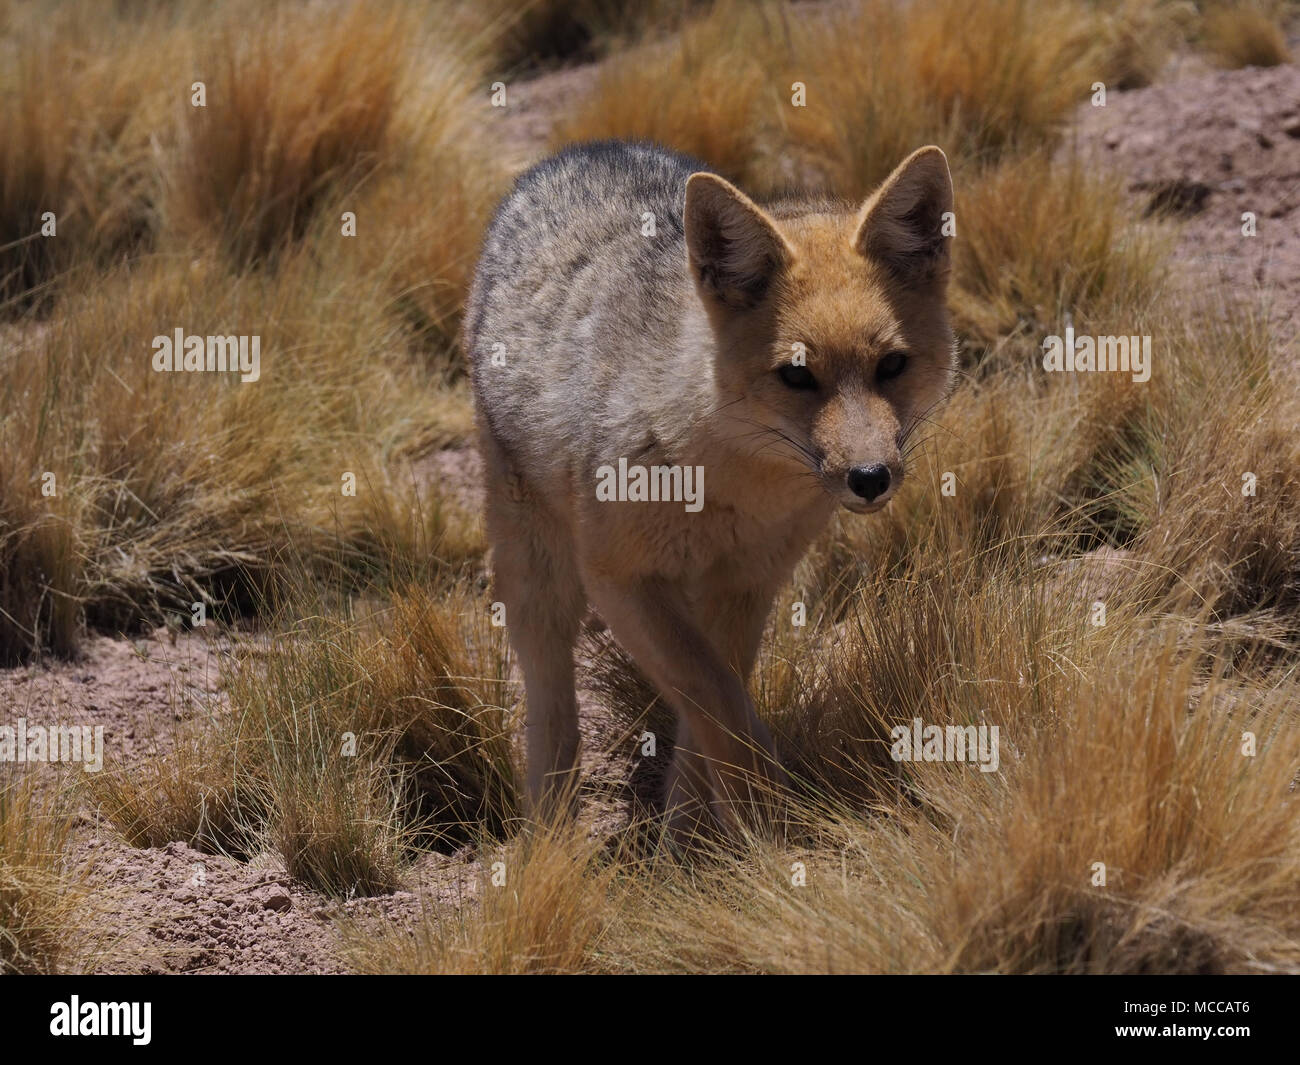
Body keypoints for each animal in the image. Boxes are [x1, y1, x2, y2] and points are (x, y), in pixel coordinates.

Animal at [465, 139, 956, 840]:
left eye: (891, 366)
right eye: (797, 376)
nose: (870, 478)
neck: (730, 485)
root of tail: (587, 149)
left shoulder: (748, 583)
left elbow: (716, 701)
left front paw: (700, 835)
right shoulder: (620, 578)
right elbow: (715, 697)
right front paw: (765, 823)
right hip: (541, 582)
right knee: (551, 709)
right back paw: (549, 836)